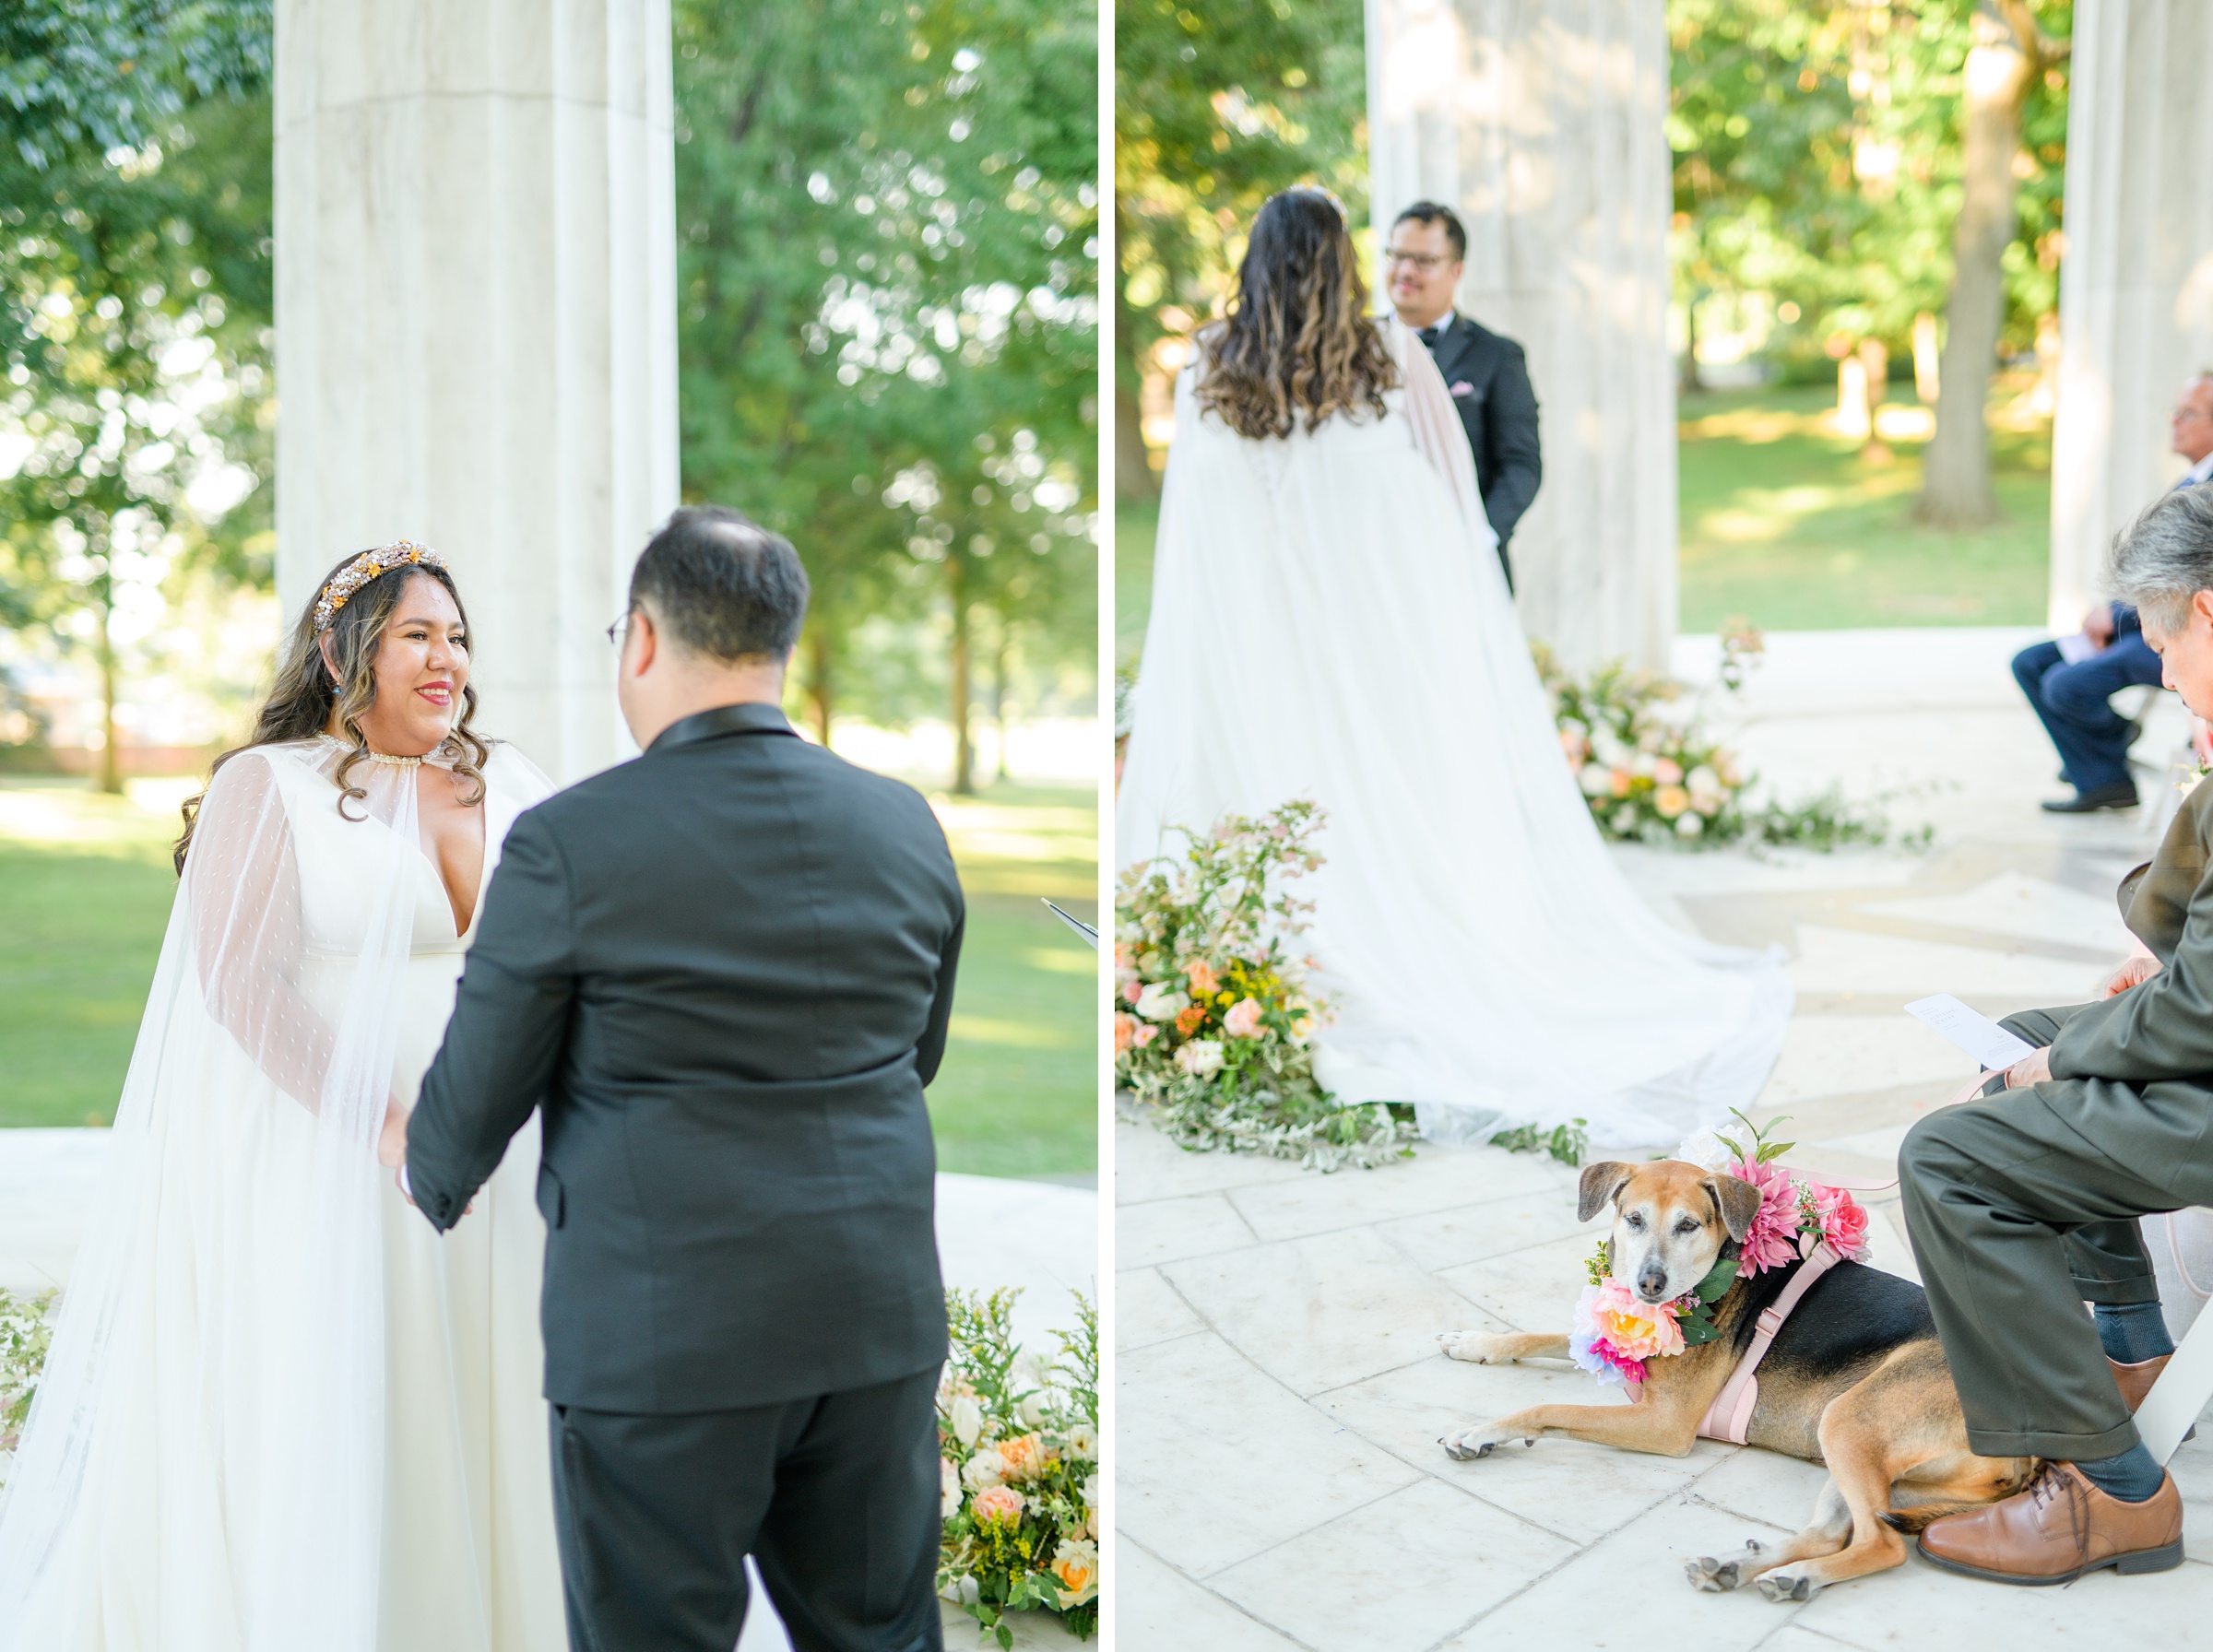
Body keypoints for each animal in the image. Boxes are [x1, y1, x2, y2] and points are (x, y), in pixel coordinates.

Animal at [1434, 1159, 2036, 1592]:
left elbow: (1549, 1409)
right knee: (1833, 1533)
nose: (1649, 1283)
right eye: (1634, 1219)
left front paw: (1480, 1431)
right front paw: (1474, 1343)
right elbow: (1541, 1336)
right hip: (1868, 1458)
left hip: (1848, 1420)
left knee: (1880, 1546)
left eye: (1688, 1224)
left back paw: (1795, 1577)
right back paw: (1743, 1568)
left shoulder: (1664, 1425)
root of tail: (2029, 1443)